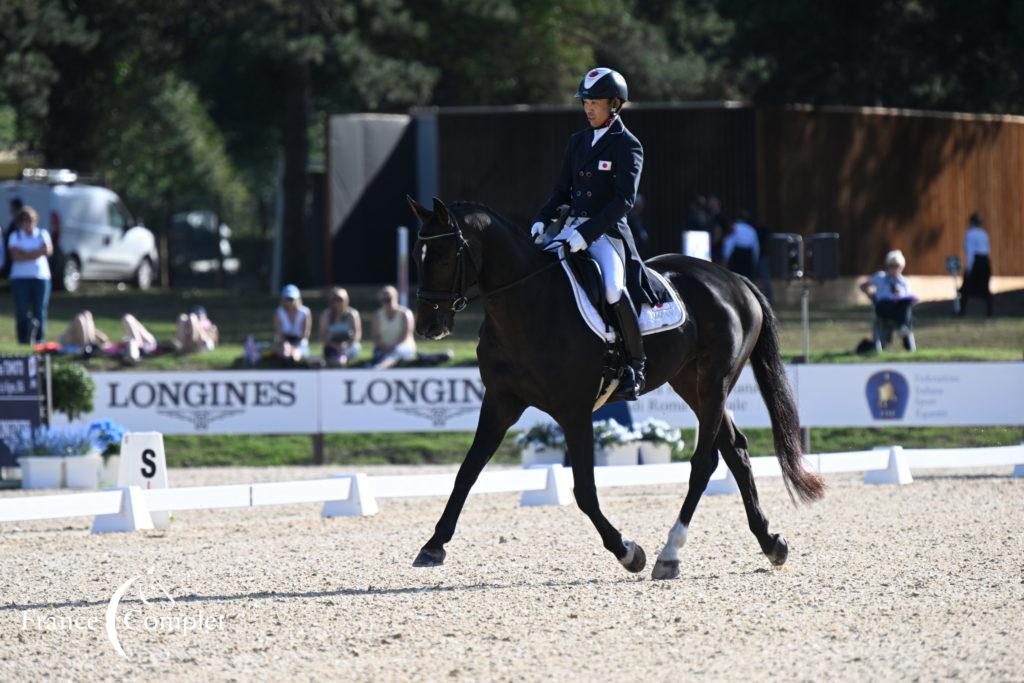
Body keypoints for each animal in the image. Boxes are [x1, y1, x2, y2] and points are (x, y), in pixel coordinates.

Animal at [405, 194, 823, 581]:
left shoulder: (574, 412)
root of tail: (734, 279)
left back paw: (670, 553)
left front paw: (627, 551)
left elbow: (584, 492)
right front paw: (433, 546)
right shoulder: (500, 402)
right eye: (417, 256)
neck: (529, 304)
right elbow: (467, 472)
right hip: (690, 382)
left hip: (716, 379)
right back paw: (771, 544)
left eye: (442, 256)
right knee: (735, 450)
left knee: (704, 462)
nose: (427, 326)